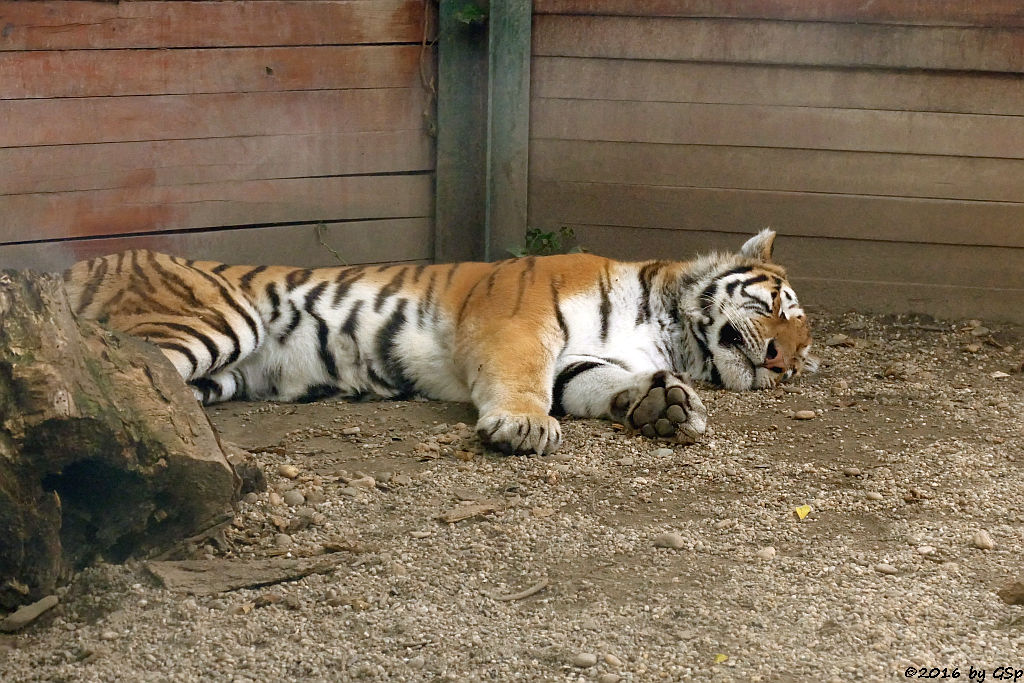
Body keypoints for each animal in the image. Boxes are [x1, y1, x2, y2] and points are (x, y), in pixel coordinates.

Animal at [64, 229, 815, 454]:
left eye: (803, 358)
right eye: (778, 306)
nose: (779, 362)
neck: (664, 329)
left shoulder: (581, 361)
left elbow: (600, 384)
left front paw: (665, 407)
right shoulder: (518, 321)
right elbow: (522, 377)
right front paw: (521, 426)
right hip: (216, 322)